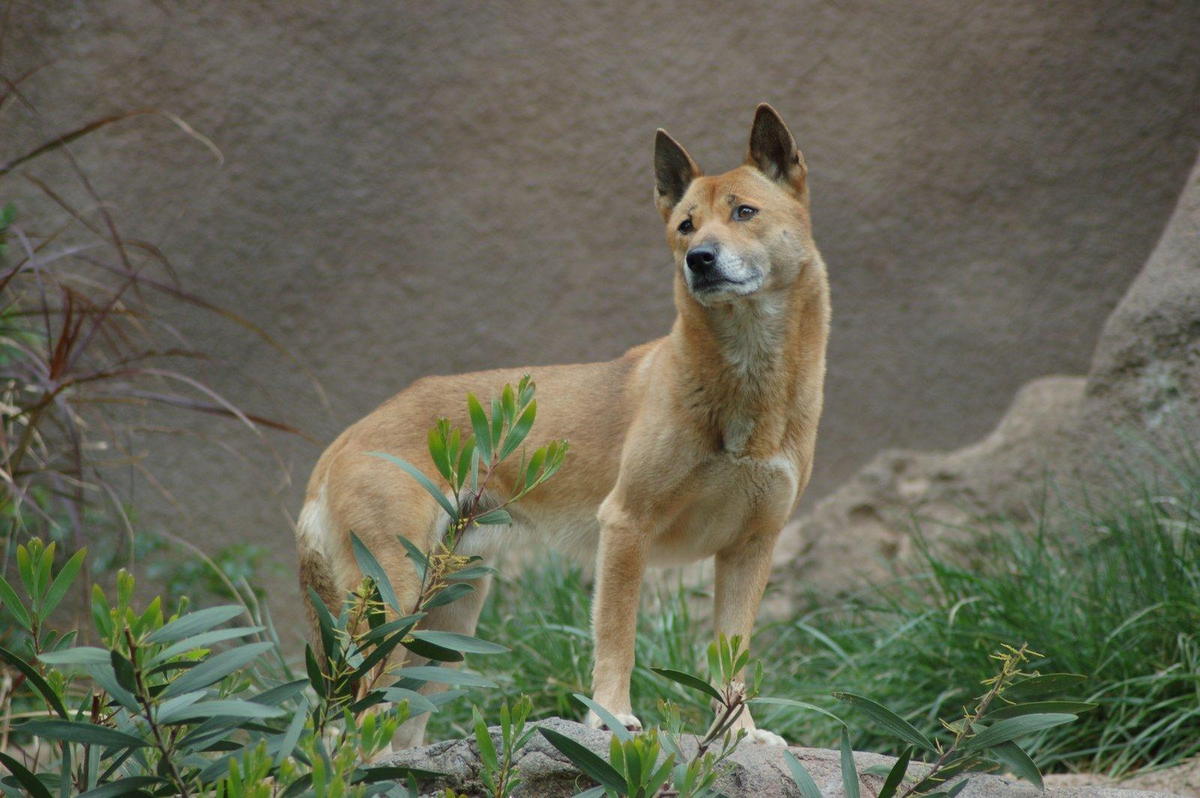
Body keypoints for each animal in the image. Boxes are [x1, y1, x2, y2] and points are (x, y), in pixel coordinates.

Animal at [295, 104, 830, 748]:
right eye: (686, 225)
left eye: (744, 212)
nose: (699, 259)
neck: (748, 382)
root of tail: (344, 440)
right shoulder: (625, 524)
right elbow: (617, 639)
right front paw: (612, 717)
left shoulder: (752, 546)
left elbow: (732, 658)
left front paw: (739, 734)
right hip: (394, 600)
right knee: (348, 720)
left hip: (448, 616)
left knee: (395, 724)